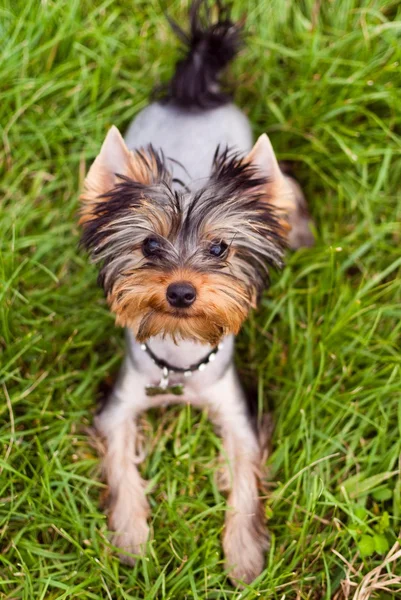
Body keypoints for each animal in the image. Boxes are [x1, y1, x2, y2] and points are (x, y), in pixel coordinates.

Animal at [79, 0, 312, 584]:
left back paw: (298, 228)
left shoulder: (235, 413)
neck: (179, 355)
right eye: (149, 246)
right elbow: (121, 468)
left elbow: (245, 481)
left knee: (282, 188)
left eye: (220, 248)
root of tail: (193, 95)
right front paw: (133, 540)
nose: (182, 291)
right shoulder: (120, 407)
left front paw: (245, 557)